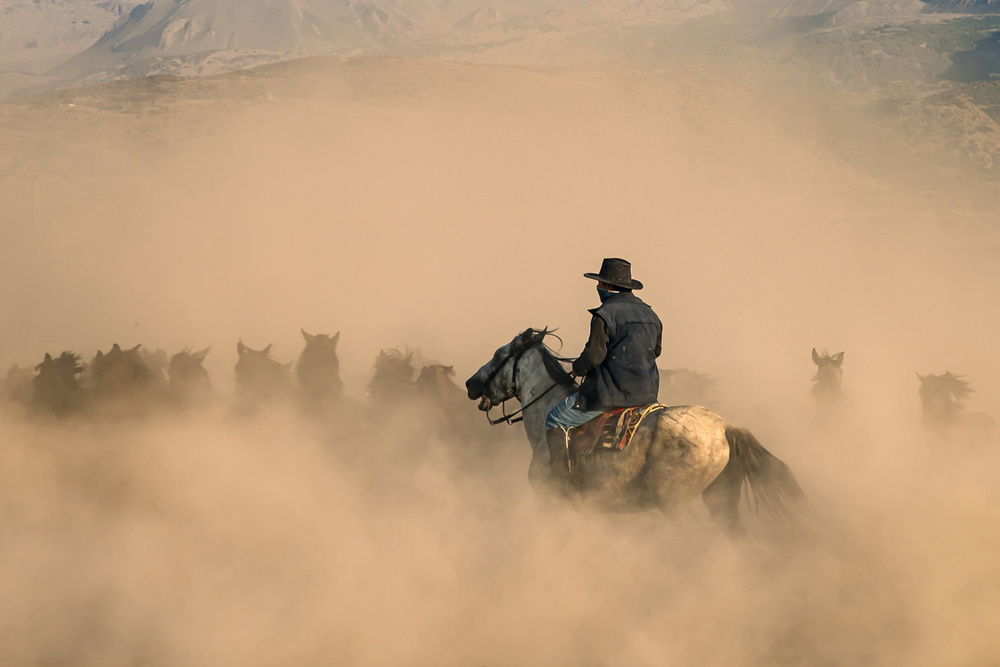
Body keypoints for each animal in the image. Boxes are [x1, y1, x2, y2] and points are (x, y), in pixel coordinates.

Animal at [462, 330, 804, 536]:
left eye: (498, 354)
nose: (470, 383)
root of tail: (724, 427)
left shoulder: (551, 501)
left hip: (678, 504)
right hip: (721, 499)